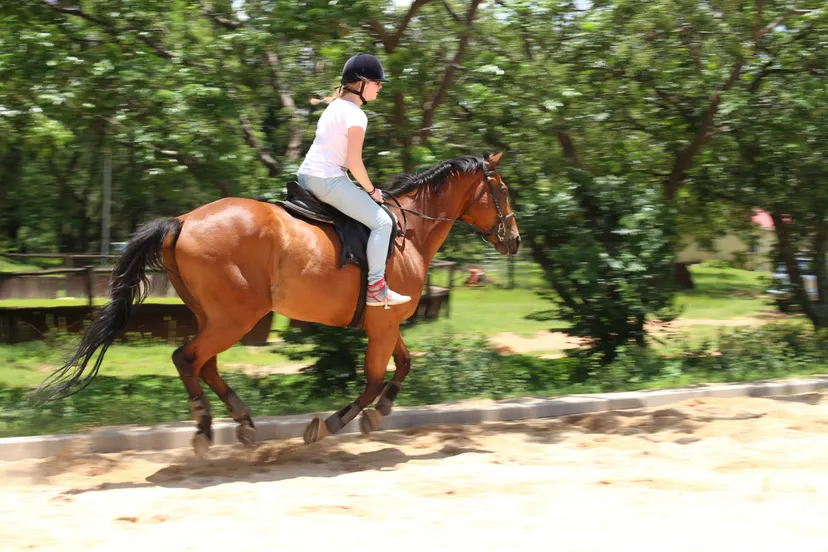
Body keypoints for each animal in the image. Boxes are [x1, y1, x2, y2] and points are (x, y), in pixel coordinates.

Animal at [34, 151, 520, 455]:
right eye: (502, 190)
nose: (513, 239)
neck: (408, 233)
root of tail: (184, 220)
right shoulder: (383, 324)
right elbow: (373, 380)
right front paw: (332, 424)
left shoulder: (386, 323)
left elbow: (402, 366)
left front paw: (378, 414)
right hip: (236, 317)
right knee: (188, 359)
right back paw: (206, 429)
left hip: (217, 316)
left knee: (204, 363)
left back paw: (243, 422)